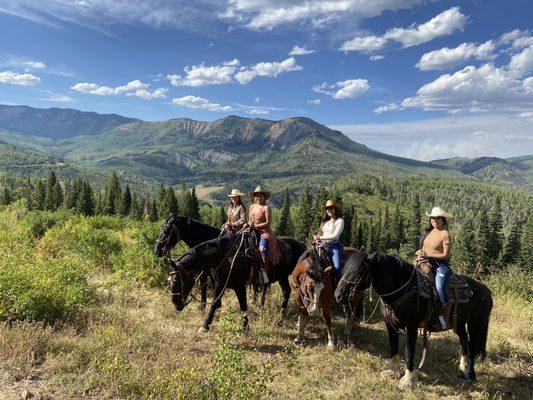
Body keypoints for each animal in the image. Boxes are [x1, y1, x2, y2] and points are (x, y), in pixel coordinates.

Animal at [155, 216, 304, 312]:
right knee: (275, 289)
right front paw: (205, 306)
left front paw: (209, 306)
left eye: (166, 231)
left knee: (278, 289)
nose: (157, 249)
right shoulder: (206, 270)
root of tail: (302, 245)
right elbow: (205, 284)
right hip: (280, 276)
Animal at [334, 253, 492, 388]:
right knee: (464, 342)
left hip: (476, 324)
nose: (338, 295)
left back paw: (470, 375)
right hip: (458, 324)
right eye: (345, 268)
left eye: (358, 270)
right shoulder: (390, 325)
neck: (401, 290)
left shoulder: (411, 327)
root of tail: (486, 290)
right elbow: (393, 347)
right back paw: (462, 369)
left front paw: (408, 380)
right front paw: (392, 371)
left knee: (472, 346)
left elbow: (409, 351)